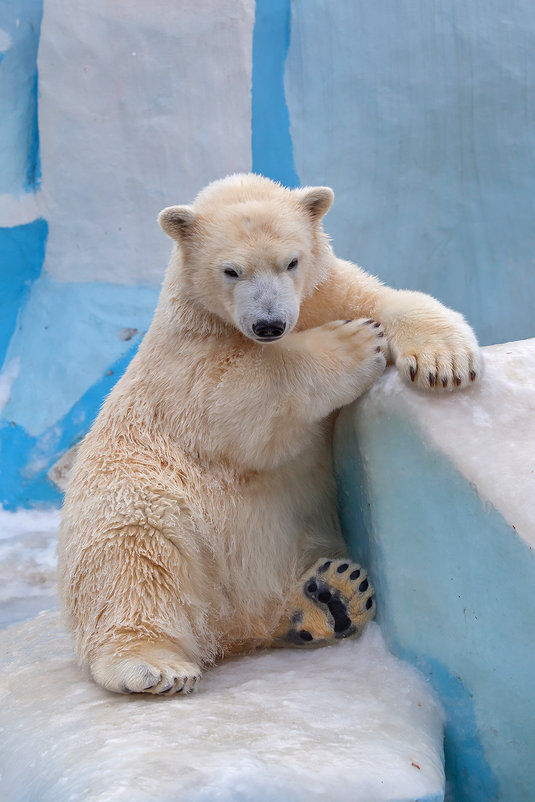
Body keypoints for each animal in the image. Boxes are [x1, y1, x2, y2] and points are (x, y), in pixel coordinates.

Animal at [58, 173, 482, 692]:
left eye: (291, 261)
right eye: (231, 271)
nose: (269, 323)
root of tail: (223, 626)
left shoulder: (324, 291)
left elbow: (390, 299)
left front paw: (446, 362)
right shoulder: (187, 356)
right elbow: (238, 396)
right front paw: (356, 344)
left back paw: (331, 597)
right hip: (134, 489)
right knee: (132, 557)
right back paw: (152, 664)